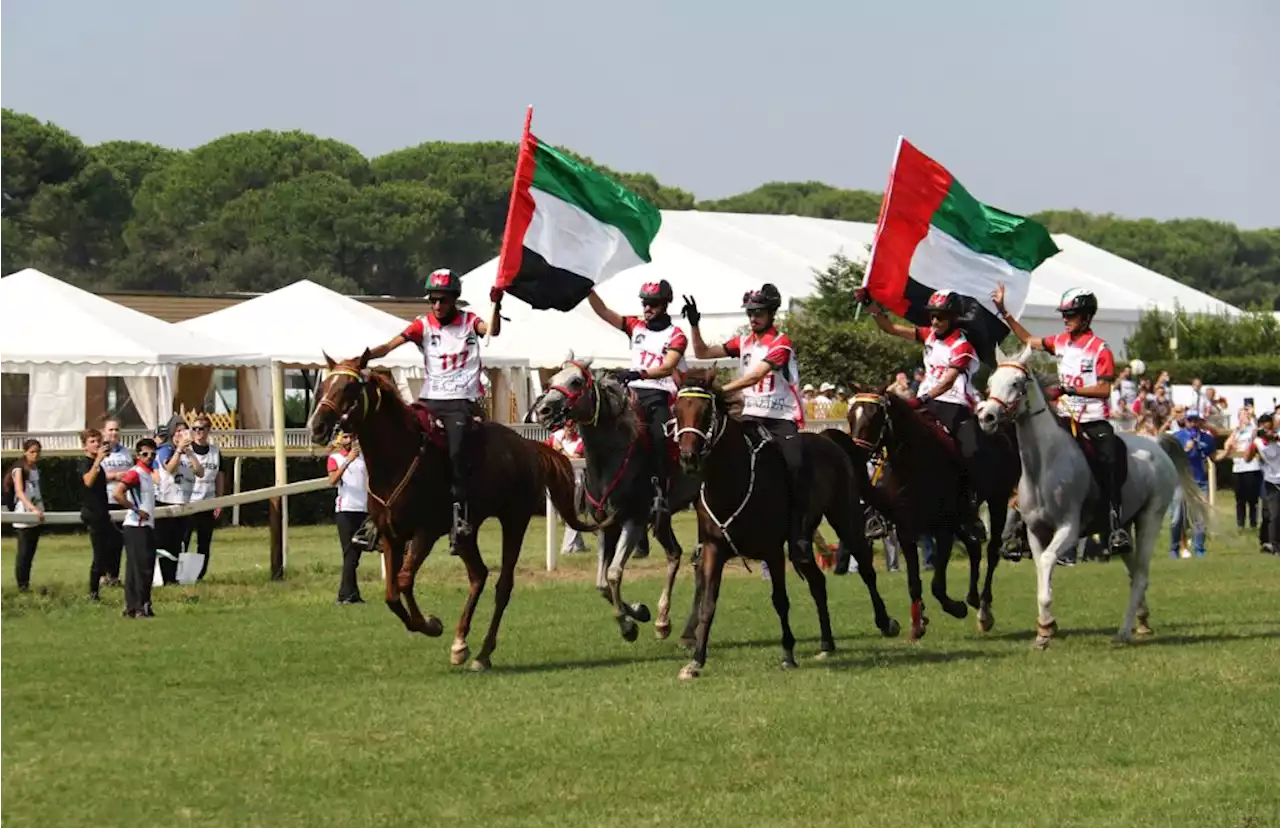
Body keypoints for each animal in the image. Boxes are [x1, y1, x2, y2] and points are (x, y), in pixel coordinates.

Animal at [307, 355, 591, 675]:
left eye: (349, 387)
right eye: (325, 386)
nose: (317, 426)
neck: (397, 460)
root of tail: (528, 446)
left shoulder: (425, 533)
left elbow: (404, 581)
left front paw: (431, 625)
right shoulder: (392, 536)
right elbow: (392, 594)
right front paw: (430, 626)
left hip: (514, 520)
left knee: (503, 585)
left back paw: (483, 653)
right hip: (466, 532)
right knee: (478, 574)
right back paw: (460, 644)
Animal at [529, 355, 696, 642]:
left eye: (576, 381)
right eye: (551, 382)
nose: (544, 411)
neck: (613, 457)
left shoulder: (634, 521)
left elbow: (615, 574)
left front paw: (628, 626)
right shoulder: (607, 525)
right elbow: (601, 582)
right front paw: (639, 612)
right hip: (664, 518)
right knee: (675, 553)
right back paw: (663, 621)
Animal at [670, 368, 901, 680]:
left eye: (706, 411)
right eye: (677, 410)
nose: (688, 457)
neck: (733, 480)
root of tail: (828, 439)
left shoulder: (772, 551)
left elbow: (780, 600)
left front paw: (788, 654)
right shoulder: (713, 549)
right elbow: (708, 603)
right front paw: (695, 661)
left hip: (845, 518)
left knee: (866, 569)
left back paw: (886, 623)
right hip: (803, 540)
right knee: (817, 582)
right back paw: (826, 644)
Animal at [839, 391, 1018, 637]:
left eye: (874, 416)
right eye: (850, 415)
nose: (856, 453)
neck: (914, 465)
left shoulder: (943, 528)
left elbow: (937, 586)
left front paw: (956, 608)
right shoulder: (906, 530)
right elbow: (914, 582)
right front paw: (917, 622)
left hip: (997, 500)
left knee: (991, 551)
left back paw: (984, 611)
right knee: (974, 547)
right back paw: (972, 597)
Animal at [977, 345, 1208, 650]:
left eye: (1016, 383)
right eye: (991, 382)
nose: (987, 417)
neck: (1044, 464)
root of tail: (1156, 443)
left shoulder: (1069, 529)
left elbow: (1048, 562)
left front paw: (1046, 628)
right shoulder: (1036, 532)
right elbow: (1041, 570)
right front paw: (1044, 629)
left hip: (1150, 518)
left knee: (1141, 576)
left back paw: (1124, 632)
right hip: (1123, 526)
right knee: (1134, 572)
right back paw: (1142, 621)